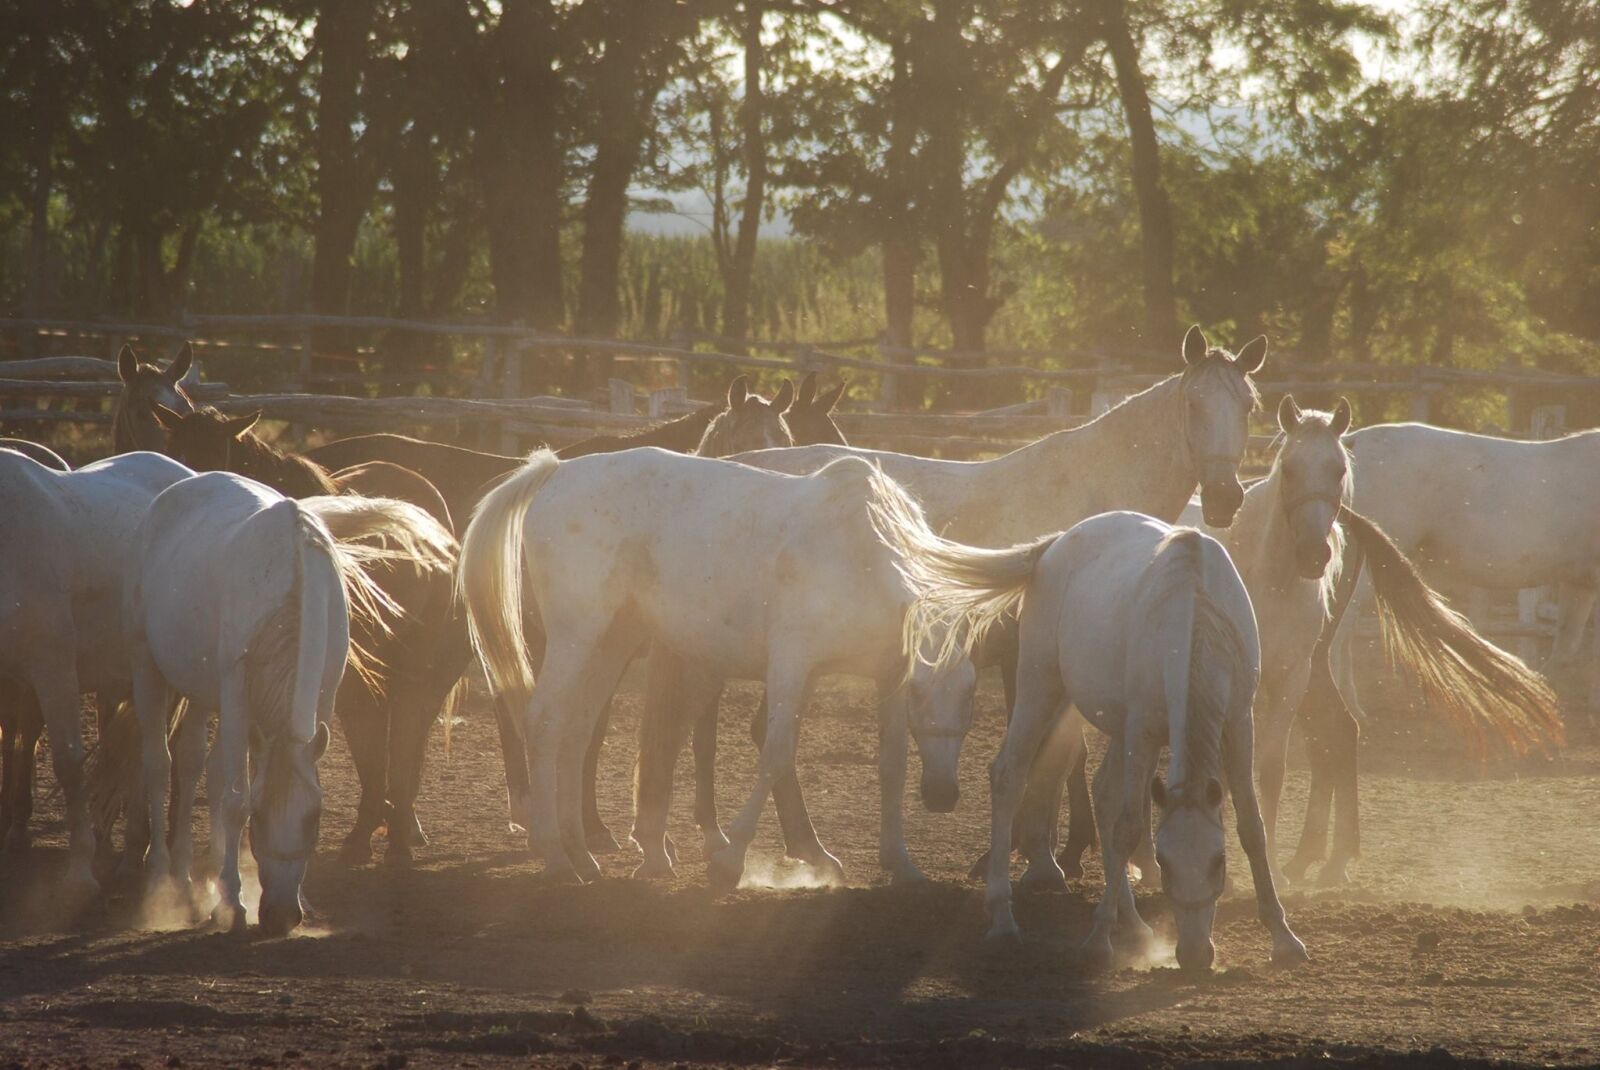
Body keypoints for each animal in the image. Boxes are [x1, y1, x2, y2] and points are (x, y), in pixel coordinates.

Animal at [120, 470, 451, 927]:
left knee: (191, 765)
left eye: (313, 820)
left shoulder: (322, 691)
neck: (290, 579)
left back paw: (187, 876)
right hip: (146, 663)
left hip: (201, 688)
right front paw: (233, 901)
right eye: (258, 821)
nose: (280, 915)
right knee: (158, 763)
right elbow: (235, 798)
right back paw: (160, 875)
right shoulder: (236, 687)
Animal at [454, 447, 972, 882]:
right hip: (576, 637)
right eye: (922, 692)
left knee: (576, 732)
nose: (942, 795)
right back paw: (558, 857)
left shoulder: (882, 676)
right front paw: (730, 859)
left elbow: (891, 766)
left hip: (611, 643)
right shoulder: (791, 665)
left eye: (969, 699)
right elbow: (776, 754)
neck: (857, 551)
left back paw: (582, 854)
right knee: (544, 721)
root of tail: (557, 470)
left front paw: (899, 861)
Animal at [630, 326, 1267, 876]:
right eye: (1194, 406)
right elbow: (1050, 754)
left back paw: (791, 849)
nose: (1225, 499)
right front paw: (1040, 856)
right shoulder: (1028, 657)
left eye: (1248, 406)